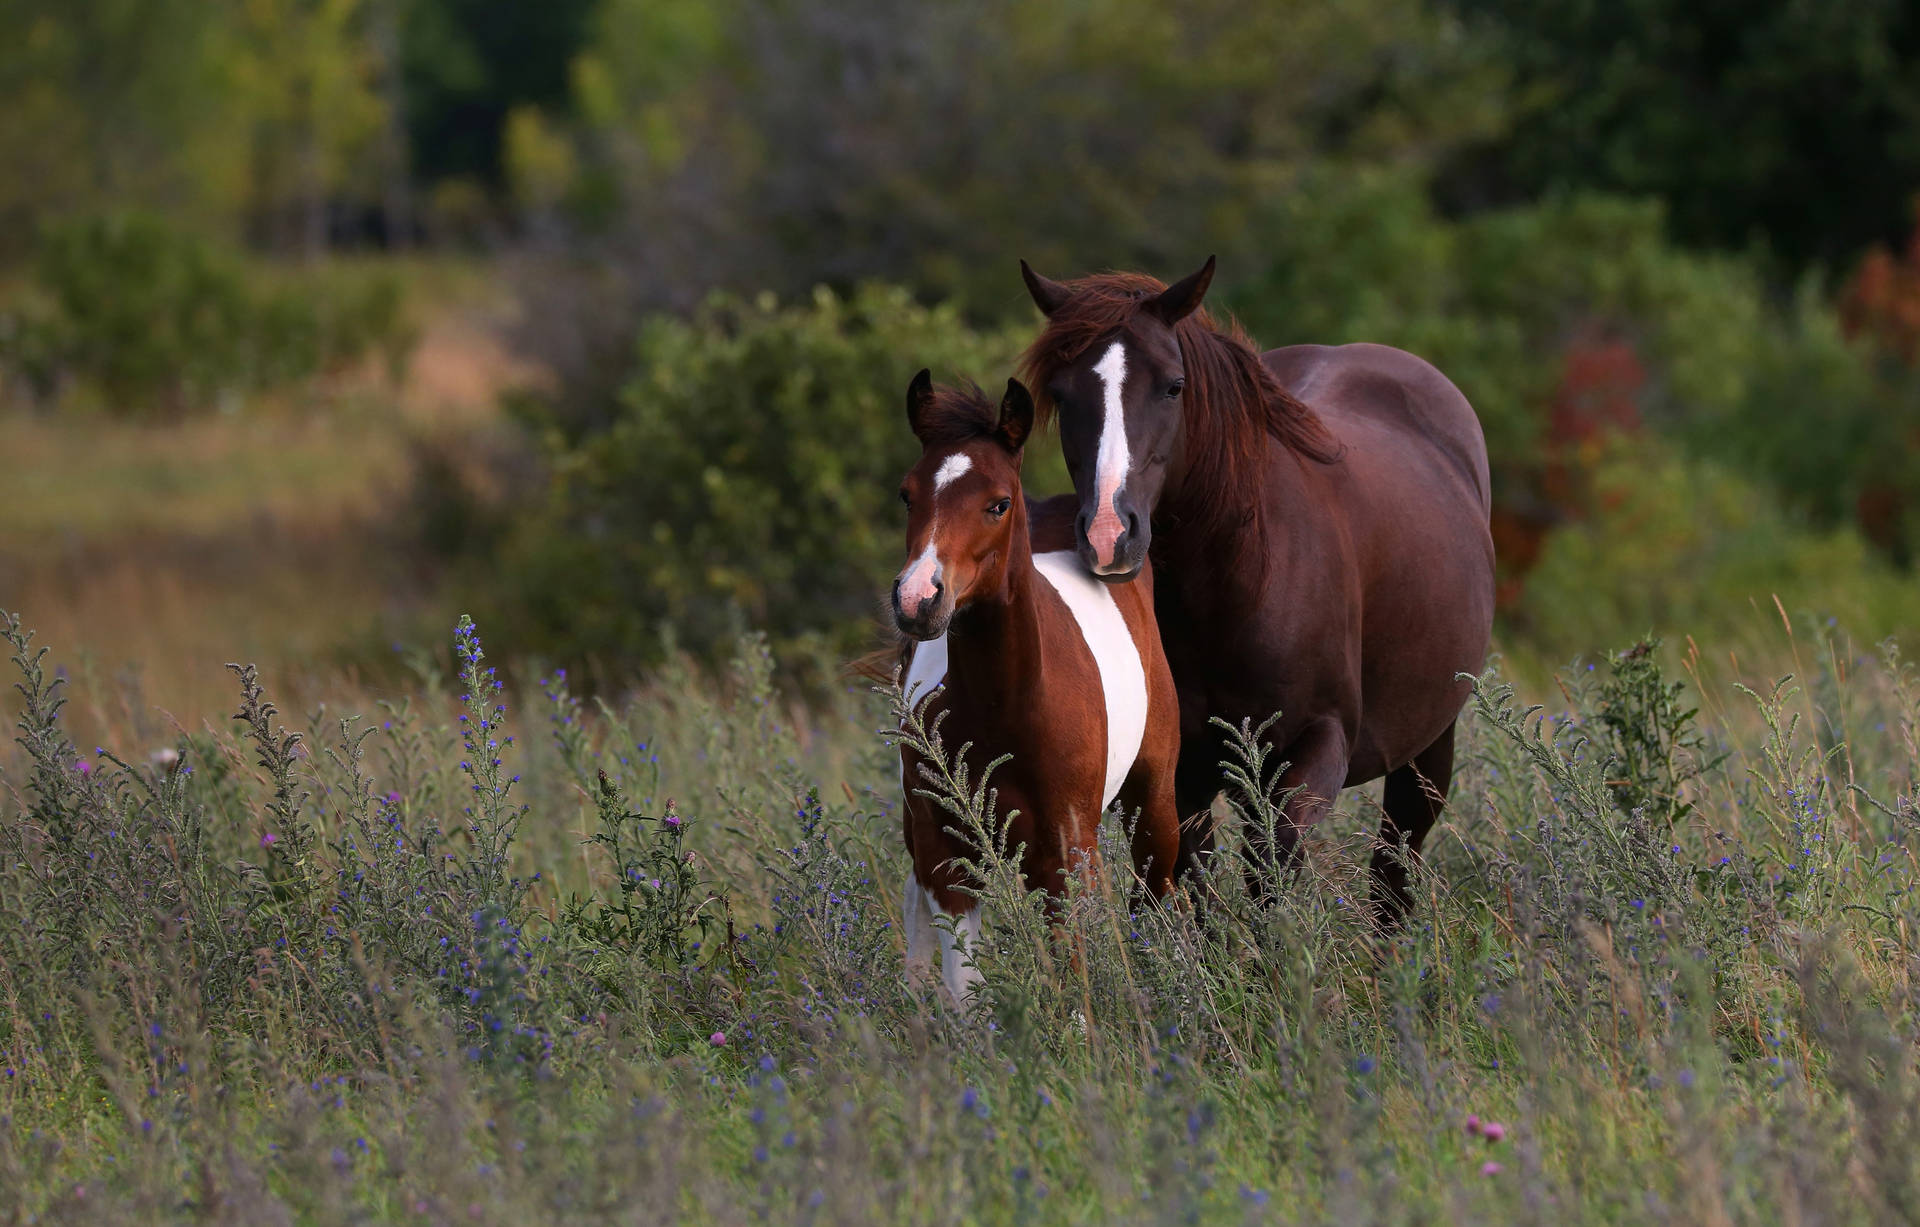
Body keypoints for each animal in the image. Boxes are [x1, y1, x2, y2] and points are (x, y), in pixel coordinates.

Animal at [890, 371, 1182, 1003]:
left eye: (998, 503)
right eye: (907, 494)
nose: (917, 598)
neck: (1006, 709)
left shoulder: (1067, 855)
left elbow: (1076, 974)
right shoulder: (949, 857)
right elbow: (965, 989)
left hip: (1153, 801)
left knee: (1159, 893)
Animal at [1016, 257, 1495, 923]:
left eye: (1173, 386)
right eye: (1062, 396)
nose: (1110, 535)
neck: (1237, 585)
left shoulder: (1314, 749)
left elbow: (1271, 875)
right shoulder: (1181, 773)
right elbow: (1188, 882)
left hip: (1427, 750)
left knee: (1393, 868)